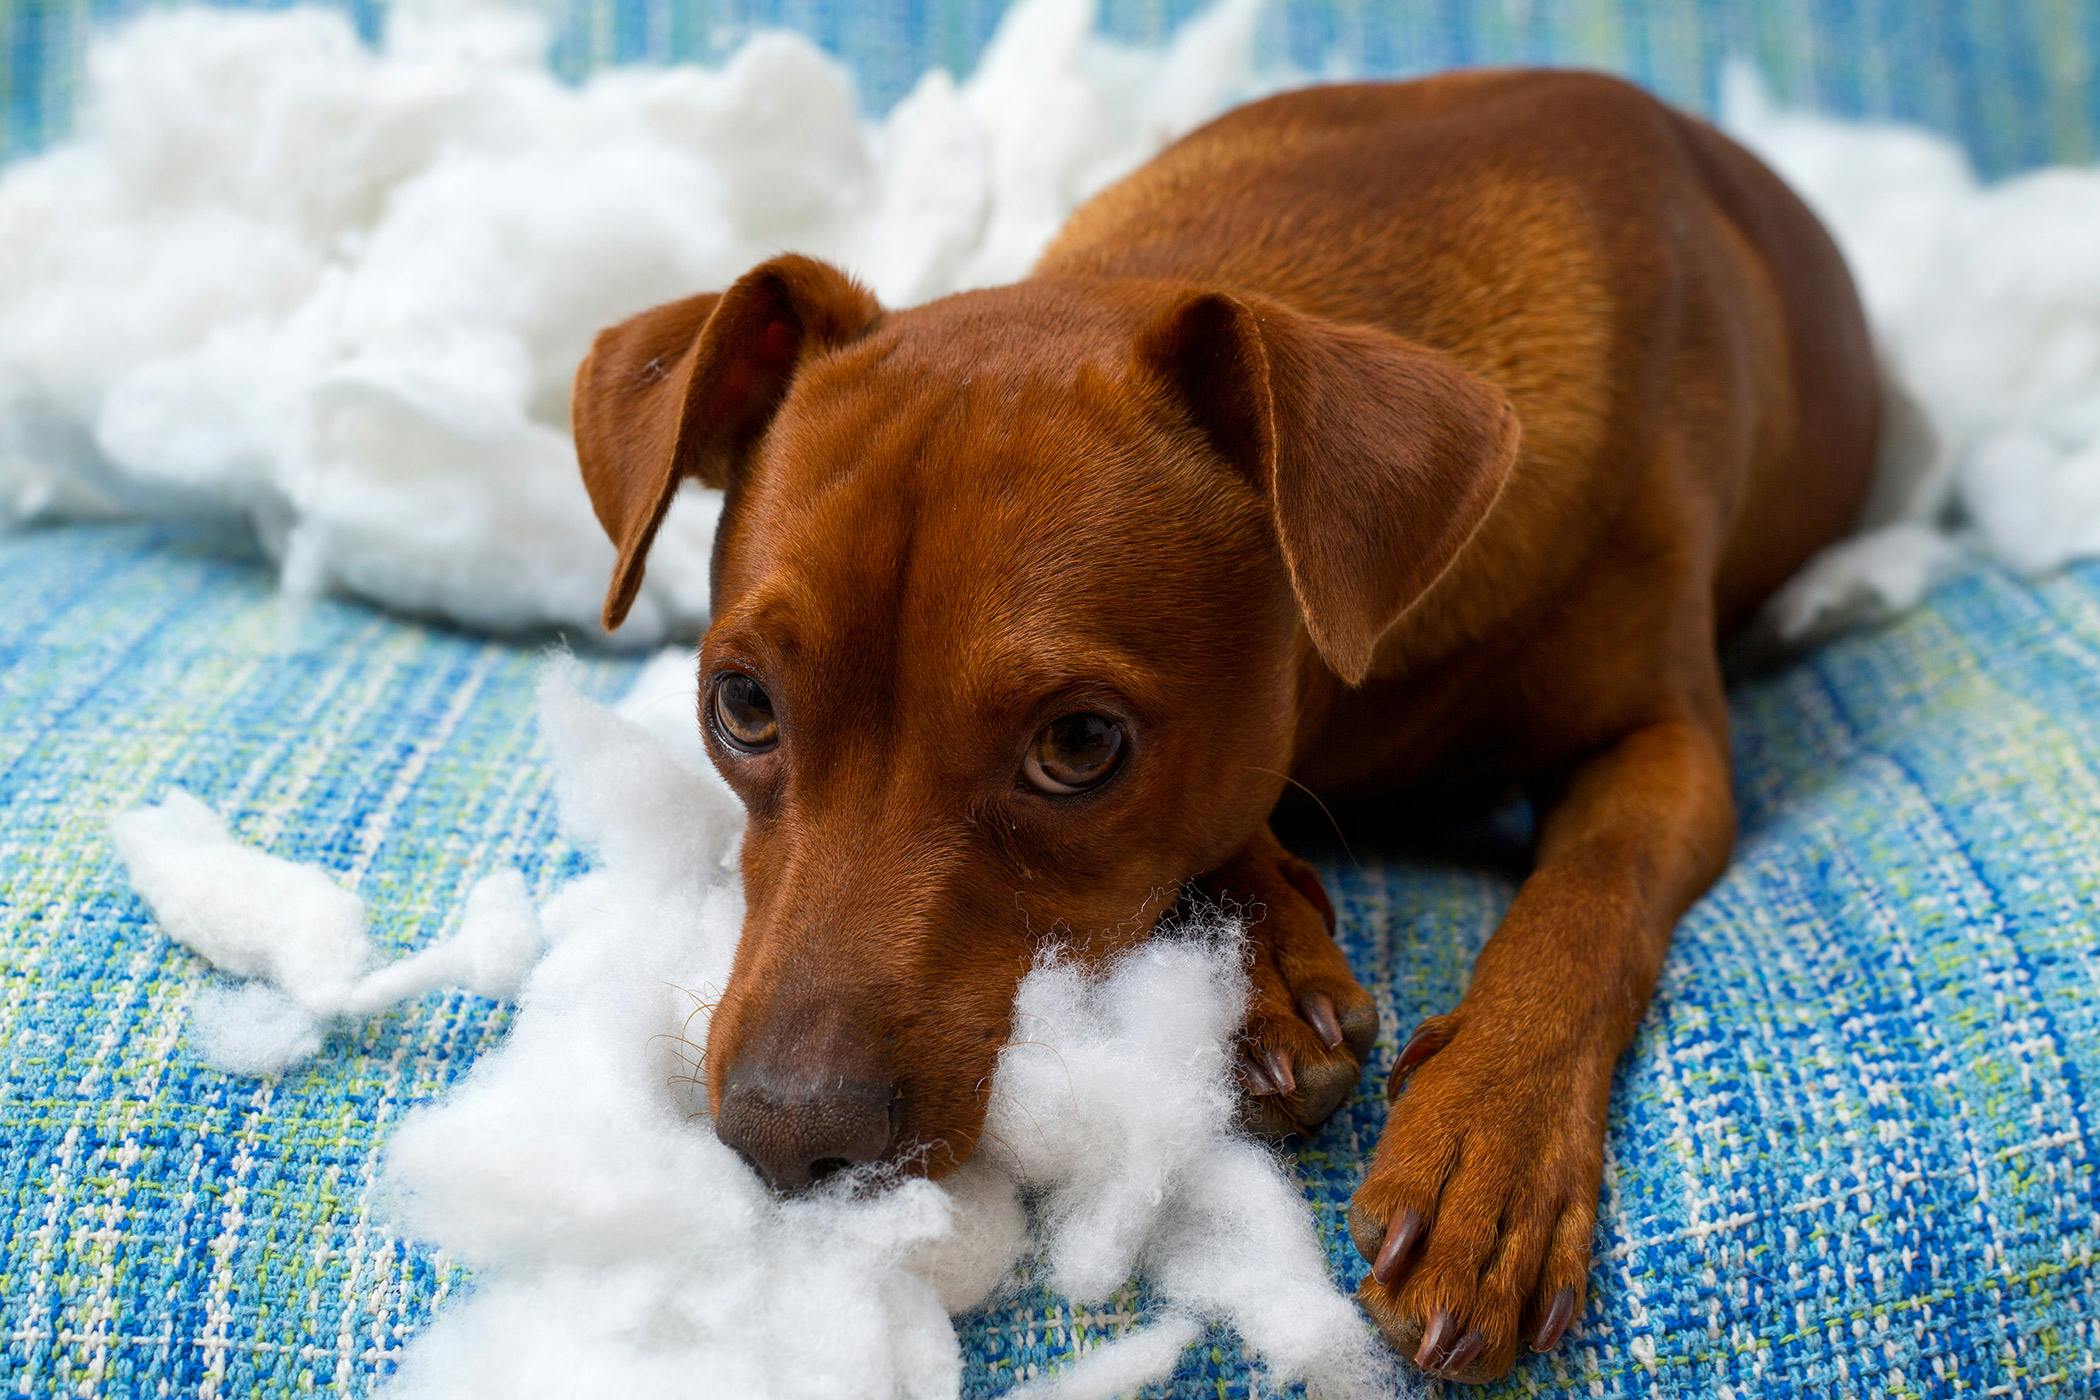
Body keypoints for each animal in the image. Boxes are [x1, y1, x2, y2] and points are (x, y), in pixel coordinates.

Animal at [567, 73, 1881, 1376]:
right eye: (742, 707)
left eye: (1080, 747)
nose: (787, 1134)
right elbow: (1229, 823)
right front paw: (1260, 975)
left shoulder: (1669, 749)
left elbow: (1586, 900)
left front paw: (1490, 1144)